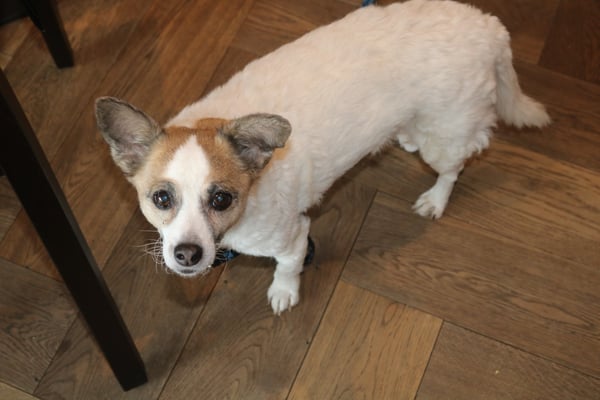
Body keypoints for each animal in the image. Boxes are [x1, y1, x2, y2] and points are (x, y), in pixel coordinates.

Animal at [96, 0, 550, 315]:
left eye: (222, 199)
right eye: (161, 199)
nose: (187, 255)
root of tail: (490, 26)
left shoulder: (294, 237)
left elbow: (287, 268)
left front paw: (284, 291)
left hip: (448, 134)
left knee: (456, 165)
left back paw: (436, 198)